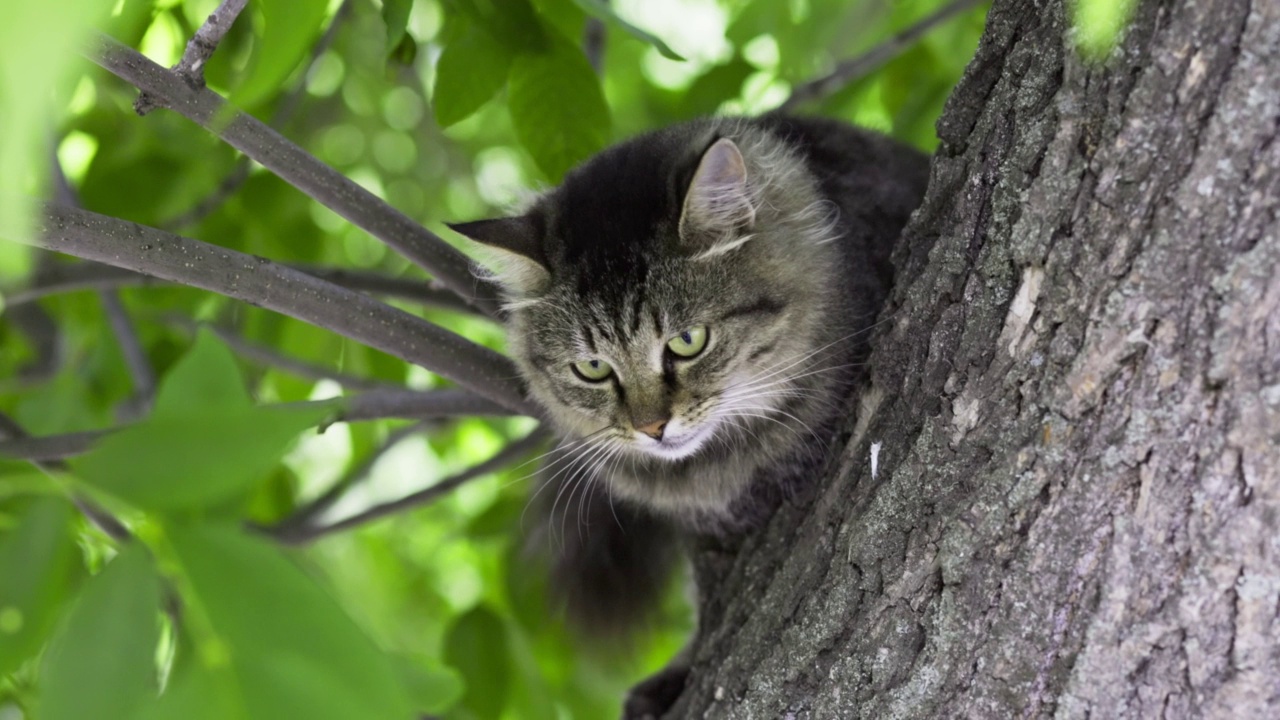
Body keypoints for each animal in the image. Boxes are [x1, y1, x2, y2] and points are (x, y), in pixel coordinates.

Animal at [453, 113, 931, 712]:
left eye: (687, 342)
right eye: (593, 368)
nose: (651, 427)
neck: (717, 473)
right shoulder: (702, 538)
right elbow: (705, 616)